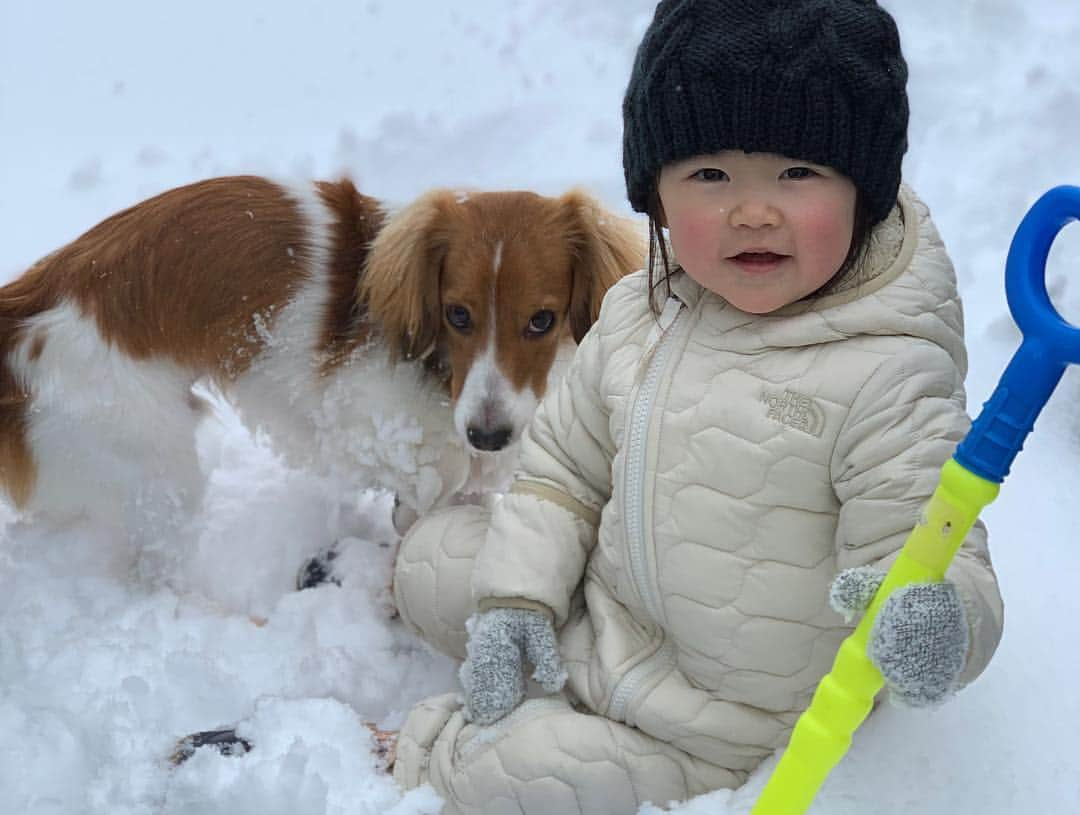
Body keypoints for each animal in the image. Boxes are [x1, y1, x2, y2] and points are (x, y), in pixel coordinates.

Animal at [0, 177, 639, 548]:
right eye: (457, 314)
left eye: (542, 320)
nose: (488, 435)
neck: (439, 374)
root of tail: (30, 301)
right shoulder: (378, 434)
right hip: (152, 462)